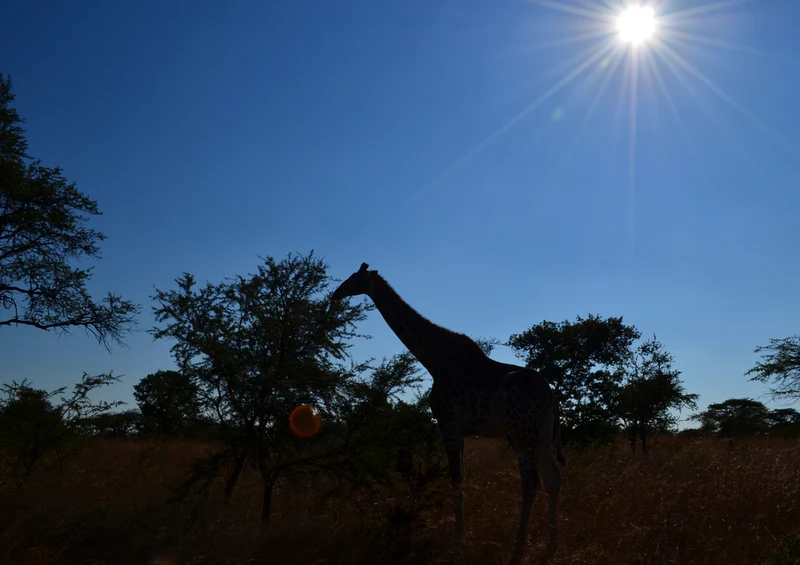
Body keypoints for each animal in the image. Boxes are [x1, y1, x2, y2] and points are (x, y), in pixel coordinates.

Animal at [331, 263, 565, 564]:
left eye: (354, 278)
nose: (336, 294)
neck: (432, 359)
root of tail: (551, 396)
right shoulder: (461, 429)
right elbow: (461, 480)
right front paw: (459, 538)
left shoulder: (448, 421)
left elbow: (456, 480)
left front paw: (458, 542)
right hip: (542, 432)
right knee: (553, 479)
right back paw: (552, 547)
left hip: (520, 430)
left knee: (531, 481)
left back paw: (517, 551)